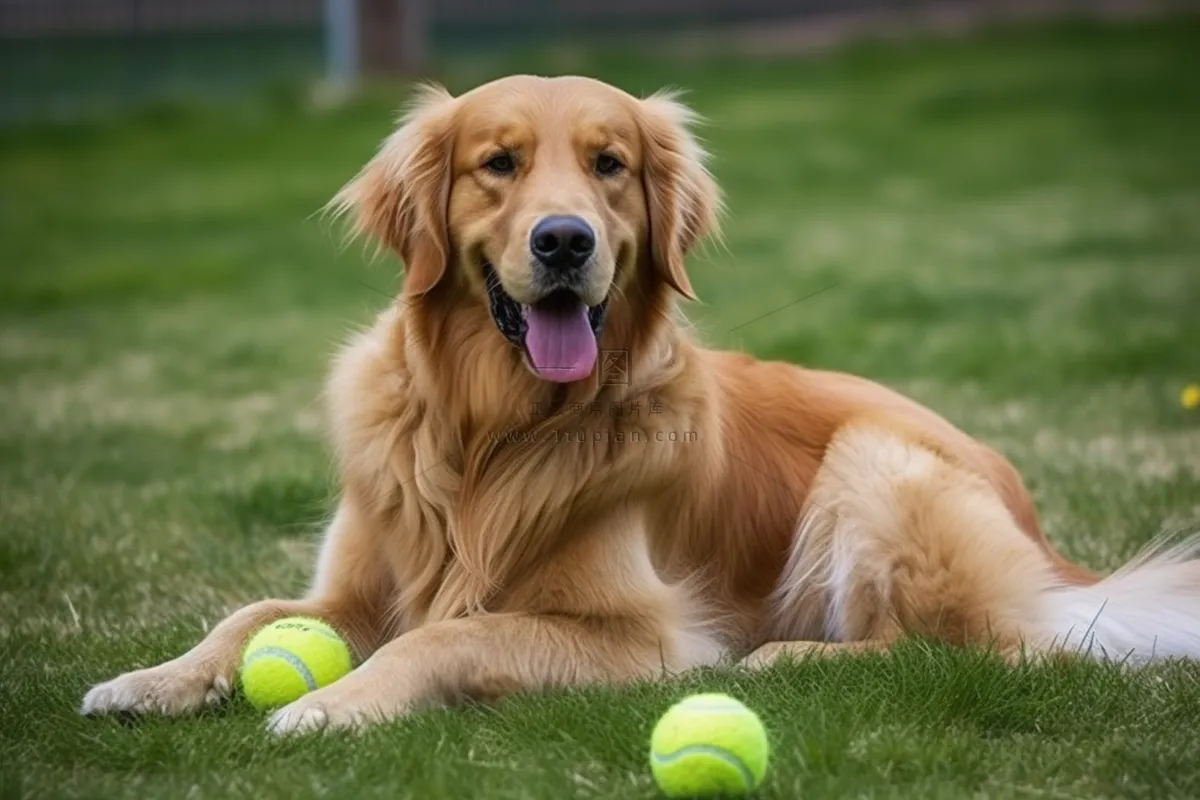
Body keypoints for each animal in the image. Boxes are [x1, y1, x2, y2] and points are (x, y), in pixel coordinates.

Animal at [82, 77, 1200, 734]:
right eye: (499, 164)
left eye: (609, 165)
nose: (565, 240)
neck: (491, 430)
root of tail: (1048, 541)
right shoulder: (361, 581)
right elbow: (251, 614)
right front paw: (151, 679)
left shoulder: (648, 637)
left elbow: (447, 635)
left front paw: (337, 701)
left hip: (877, 462)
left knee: (989, 646)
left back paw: (790, 655)